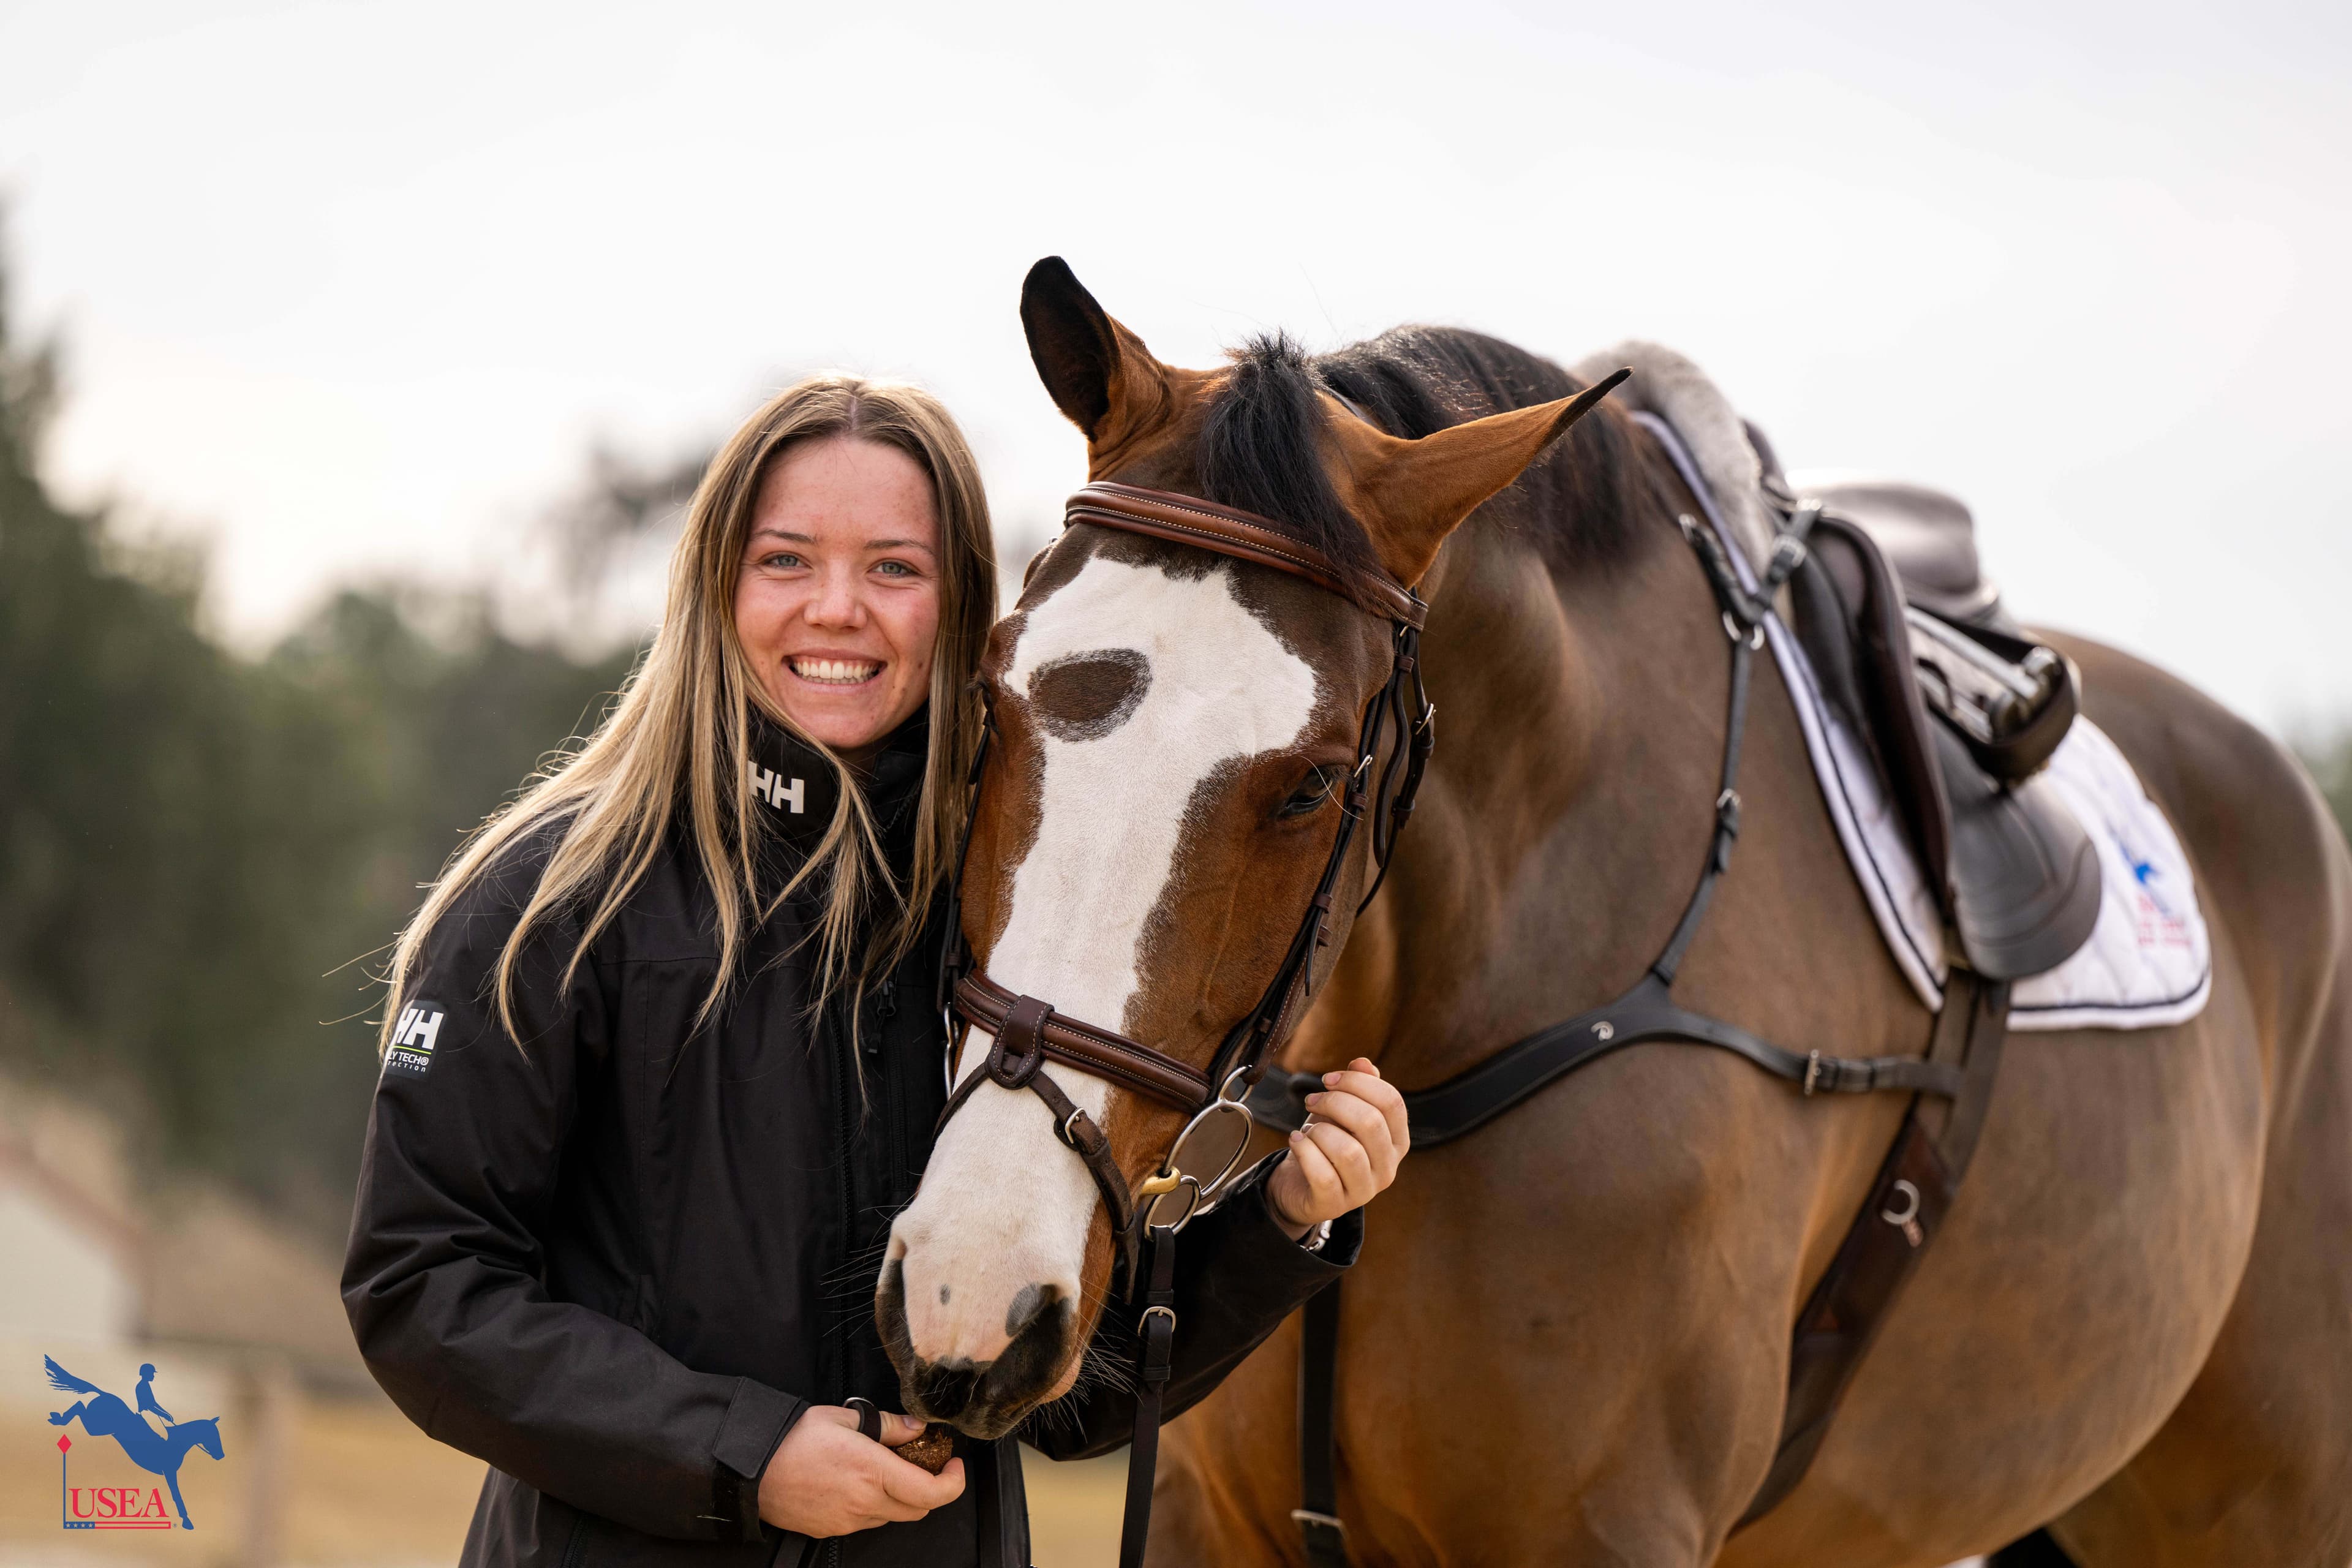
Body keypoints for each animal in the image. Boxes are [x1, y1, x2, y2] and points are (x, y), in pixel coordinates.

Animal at [47, 1357, 225, 1531]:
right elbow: (177, 1496)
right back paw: (58, 1419)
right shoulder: (169, 1471)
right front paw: (187, 1521)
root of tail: (104, 1394)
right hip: (97, 1428)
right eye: (213, 1435)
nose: (221, 1456)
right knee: (79, 1406)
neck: (177, 1443)